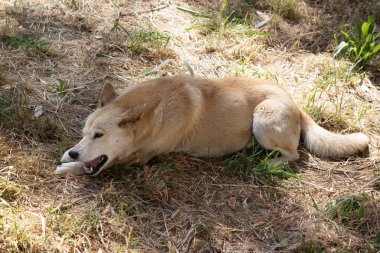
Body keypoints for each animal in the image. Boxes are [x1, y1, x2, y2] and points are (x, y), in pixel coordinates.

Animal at [58, 75, 368, 176]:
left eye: (100, 135)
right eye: (84, 133)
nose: (74, 152)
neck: (155, 111)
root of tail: (295, 103)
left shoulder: (141, 157)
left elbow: (106, 163)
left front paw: (69, 168)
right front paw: (68, 156)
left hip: (263, 118)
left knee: (293, 155)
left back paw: (266, 163)